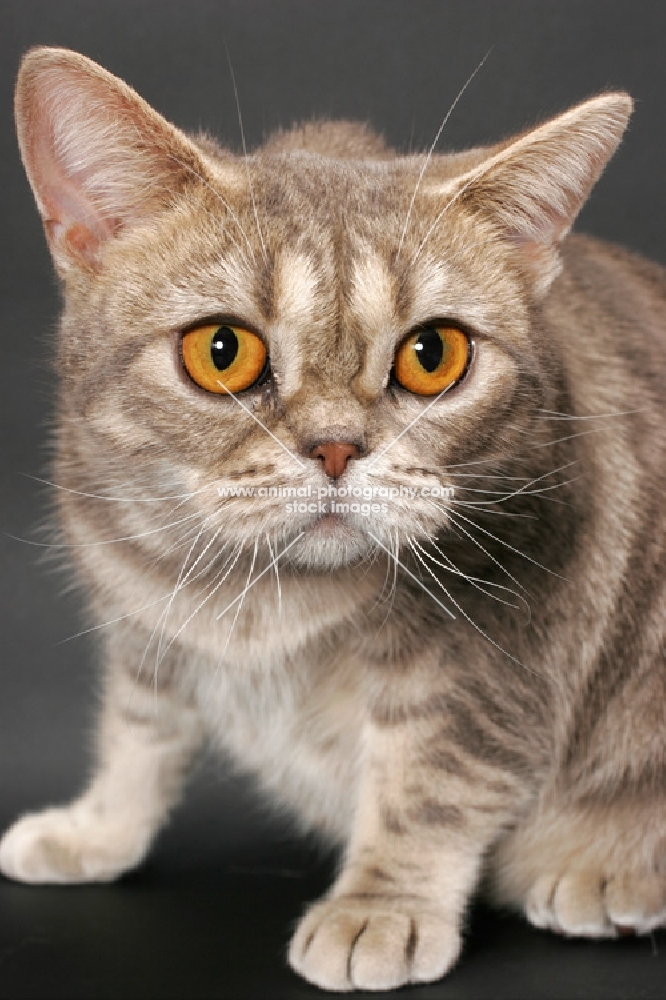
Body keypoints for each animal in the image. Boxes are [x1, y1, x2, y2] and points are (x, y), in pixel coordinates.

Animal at [1, 47, 664, 992]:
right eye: (222, 351)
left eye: (433, 354)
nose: (337, 447)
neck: (256, 602)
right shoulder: (142, 624)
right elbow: (139, 733)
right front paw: (96, 828)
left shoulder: (499, 655)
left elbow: (431, 784)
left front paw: (379, 909)